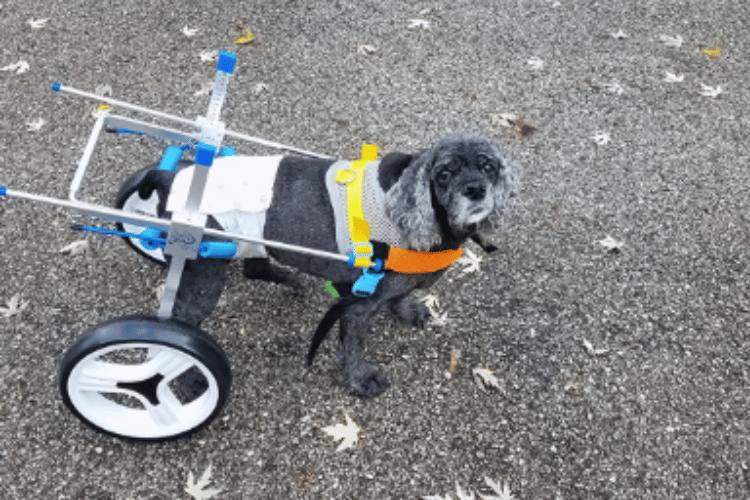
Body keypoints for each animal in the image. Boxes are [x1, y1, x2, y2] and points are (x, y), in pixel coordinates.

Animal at [138, 134, 520, 398]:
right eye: (443, 173)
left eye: (488, 166)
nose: (475, 189)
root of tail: (171, 178)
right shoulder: (359, 303)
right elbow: (351, 345)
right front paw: (361, 378)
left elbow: (400, 296)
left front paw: (408, 308)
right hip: (206, 269)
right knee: (179, 323)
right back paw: (186, 375)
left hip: (247, 239)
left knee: (254, 268)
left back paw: (292, 280)